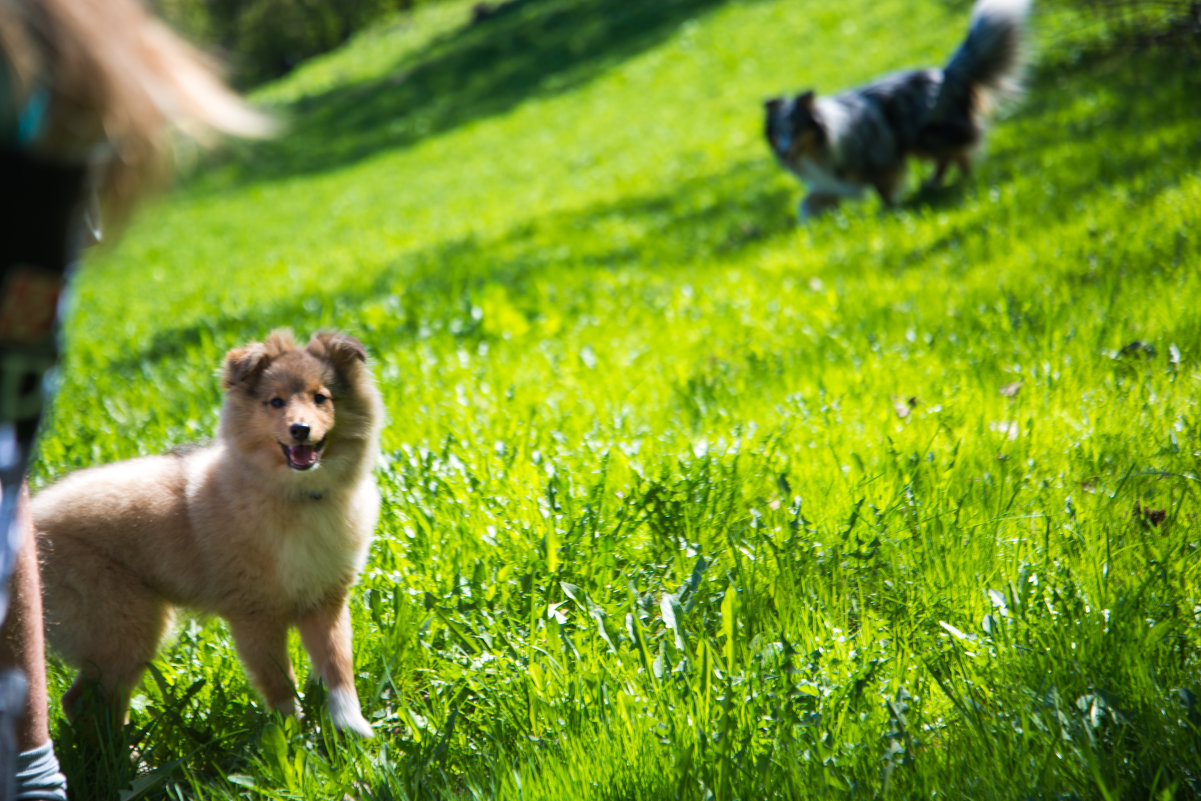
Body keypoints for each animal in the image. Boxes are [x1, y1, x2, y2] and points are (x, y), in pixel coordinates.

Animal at [32, 331, 381, 739]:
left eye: (320, 397)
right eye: (275, 402)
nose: (300, 429)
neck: (297, 496)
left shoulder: (326, 599)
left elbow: (338, 666)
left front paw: (352, 729)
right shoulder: (254, 614)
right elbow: (279, 683)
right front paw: (290, 740)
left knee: (82, 702)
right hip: (123, 624)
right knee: (91, 700)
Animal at [763, 0, 1028, 220]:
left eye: (796, 128)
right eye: (779, 132)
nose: (784, 151)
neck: (821, 144)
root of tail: (946, 75)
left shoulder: (878, 160)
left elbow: (883, 189)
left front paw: (887, 211)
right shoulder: (833, 180)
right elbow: (811, 200)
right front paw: (815, 219)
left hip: (924, 137)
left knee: (958, 151)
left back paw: (963, 179)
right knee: (948, 157)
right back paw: (934, 183)